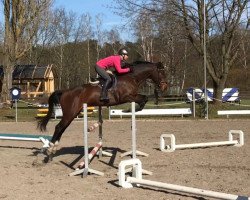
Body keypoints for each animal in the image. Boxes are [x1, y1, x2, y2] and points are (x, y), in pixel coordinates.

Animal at [37, 60, 168, 161]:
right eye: (161, 72)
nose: (164, 86)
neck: (132, 77)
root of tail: (65, 91)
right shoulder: (126, 97)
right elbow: (144, 99)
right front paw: (129, 110)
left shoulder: (132, 96)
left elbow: (144, 99)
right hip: (70, 113)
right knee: (59, 127)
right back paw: (50, 148)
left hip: (73, 114)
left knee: (62, 128)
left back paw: (53, 149)